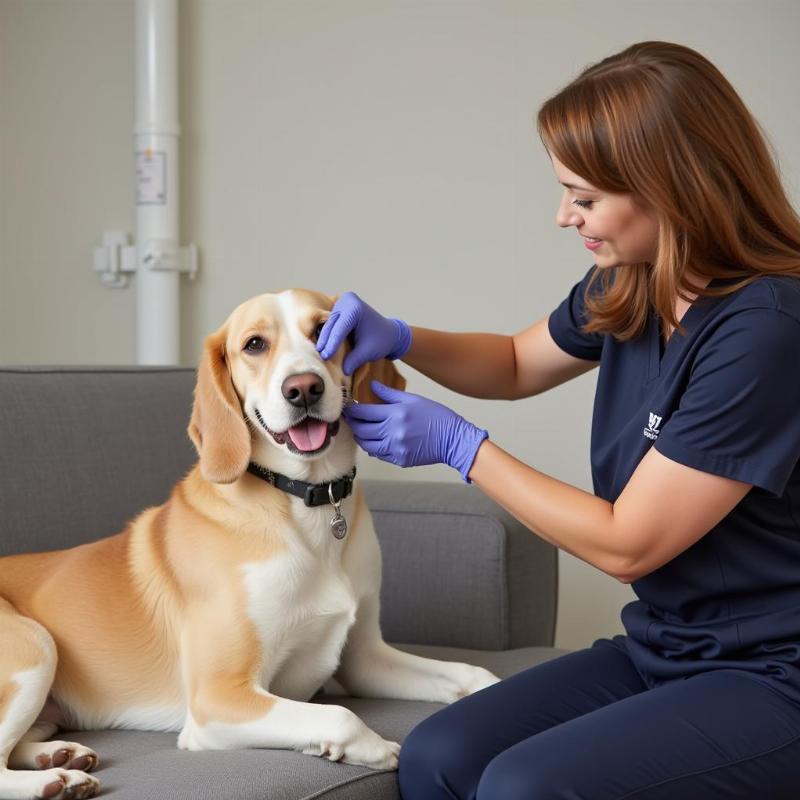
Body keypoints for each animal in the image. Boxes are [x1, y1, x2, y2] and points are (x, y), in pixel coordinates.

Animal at [0, 290, 500, 800]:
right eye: (255, 344)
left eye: (325, 330)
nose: (303, 388)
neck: (307, 504)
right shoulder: (218, 698)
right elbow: (339, 714)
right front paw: (374, 747)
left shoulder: (364, 659)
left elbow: (472, 675)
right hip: (35, 646)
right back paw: (55, 778)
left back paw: (59, 755)